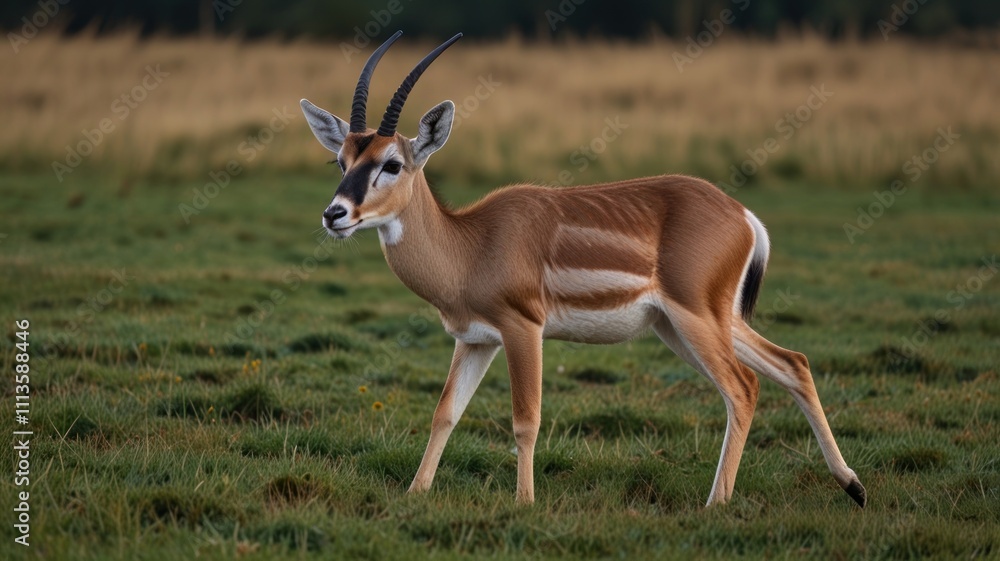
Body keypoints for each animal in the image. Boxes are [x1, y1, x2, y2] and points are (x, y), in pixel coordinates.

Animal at [299, 30, 867, 508]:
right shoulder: (475, 339)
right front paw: (416, 494)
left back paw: (716, 504)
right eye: (341, 161)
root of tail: (743, 215)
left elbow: (525, 419)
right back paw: (852, 487)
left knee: (744, 387)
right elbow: (445, 413)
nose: (334, 214)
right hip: (691, 323)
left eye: (392, 163)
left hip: (695, 319)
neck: (470, 245)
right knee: (792, 363)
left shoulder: (523, 329)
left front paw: (524, 504)